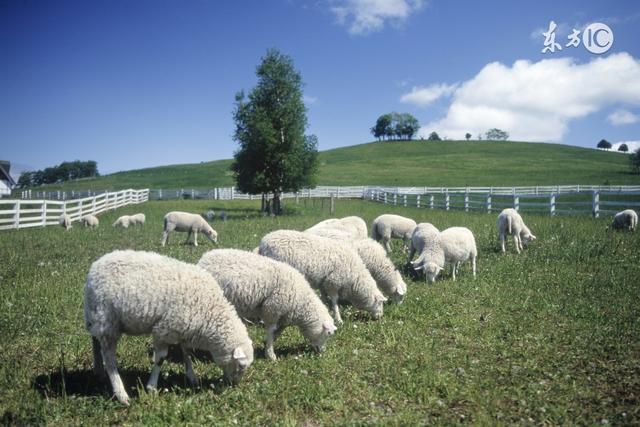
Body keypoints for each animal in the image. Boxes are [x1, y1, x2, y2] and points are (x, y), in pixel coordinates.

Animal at [84, 251, 254, 408]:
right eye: (240, 365)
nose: (233, 385)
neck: (210, 311)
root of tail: (95, 266)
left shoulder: (183, 328)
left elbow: (186, 352)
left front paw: (192, 377)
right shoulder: (164, 329)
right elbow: (161, 358)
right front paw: (151, 387)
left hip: (97, 317)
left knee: (95, 341)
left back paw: (98, 370)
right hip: (107, 320)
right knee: (109, 358)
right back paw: (121, 394)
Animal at [198, 249, 338, 362]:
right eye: (328, 333)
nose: (322, 351)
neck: (301, 302)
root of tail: (204, 258)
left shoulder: (284, 316)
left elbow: (278, 332)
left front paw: (266, 346)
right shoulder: (272, 309)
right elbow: (271, 331)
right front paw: (270, 354)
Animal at [258, 231, 388, 324]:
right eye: (380, 303)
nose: (380, 317)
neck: (354, 277)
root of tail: (263, 241)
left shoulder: (324, 282)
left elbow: (324, 298)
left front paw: (326, 308)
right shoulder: (333, 282)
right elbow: (335, 301)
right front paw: (338, 319)